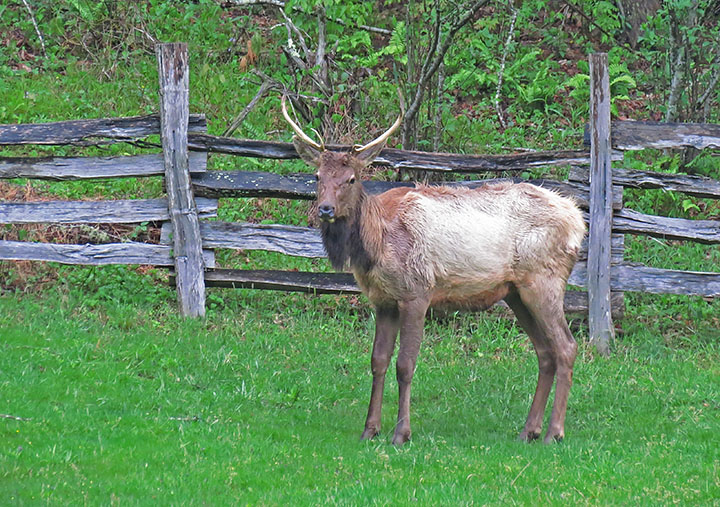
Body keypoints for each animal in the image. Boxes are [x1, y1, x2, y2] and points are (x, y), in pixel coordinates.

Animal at [282, 95, 584, 444]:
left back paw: (554, 432)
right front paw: (370, 429)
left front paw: (401, 433)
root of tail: (578, 221)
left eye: (352, 179)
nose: (325, 209)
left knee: (566, 347)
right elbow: (377, 361)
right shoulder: (383, 301)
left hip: (544, 279)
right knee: (545, 352)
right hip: (515, 292)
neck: (376, 245)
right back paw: (528, 430)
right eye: (317, 176)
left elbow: (405, 364)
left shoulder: (416, 292)